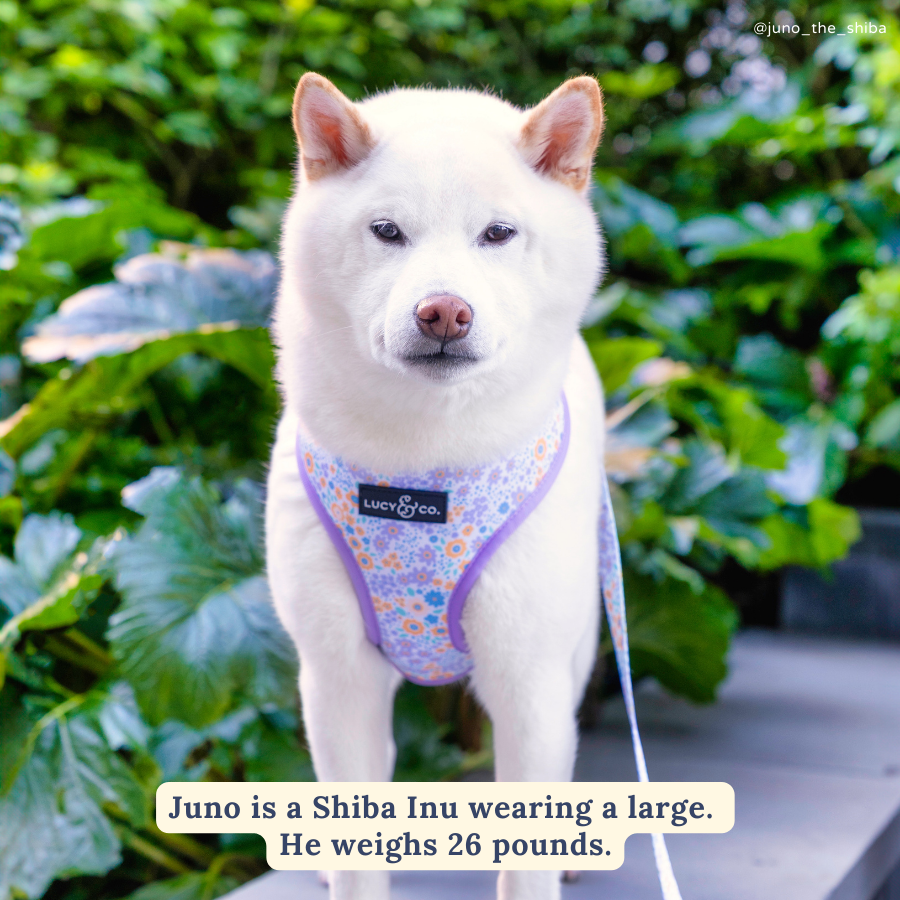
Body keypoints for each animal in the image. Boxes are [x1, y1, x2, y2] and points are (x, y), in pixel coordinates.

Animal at [266, 72, 604, 900]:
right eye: (387, 231)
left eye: (498, 234)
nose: (444, 311)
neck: (422, 466)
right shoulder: (337, 675)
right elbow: (357, 841)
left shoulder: (528, 679)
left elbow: (526, 862)